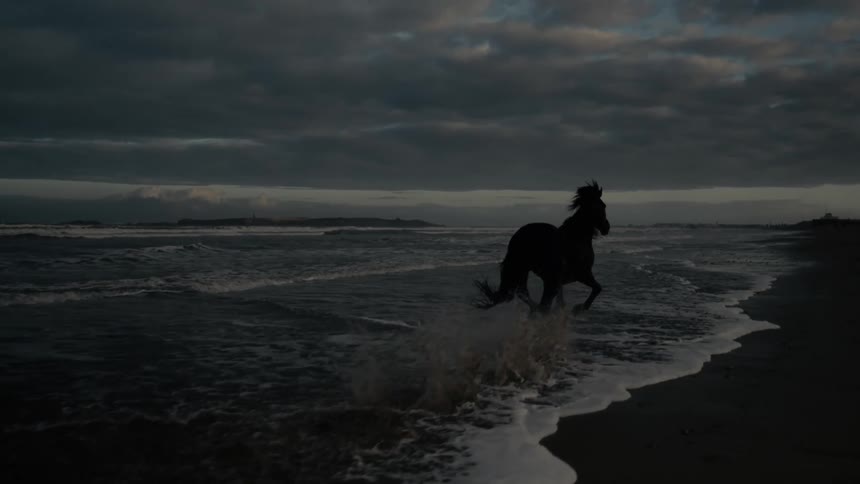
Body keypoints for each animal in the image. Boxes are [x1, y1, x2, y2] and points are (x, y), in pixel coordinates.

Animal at [473, 181, 610, 314]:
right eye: (602, 206)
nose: (606, 228)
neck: (576, 237)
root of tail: (517, 236)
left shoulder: (560, 280)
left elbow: (560, 298)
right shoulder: (582, 273)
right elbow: (597, 288)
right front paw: (579, 308)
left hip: (525, 271)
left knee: (523, 293)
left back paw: (536, 310)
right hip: (524, 269)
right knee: (529, 296)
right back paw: (537, 311)